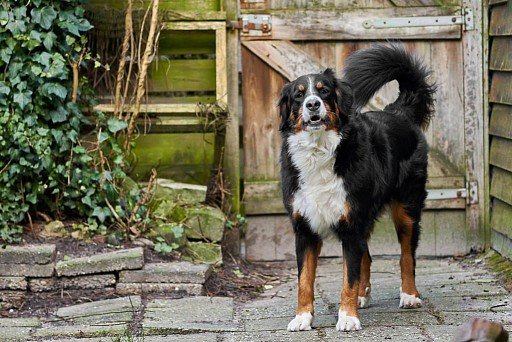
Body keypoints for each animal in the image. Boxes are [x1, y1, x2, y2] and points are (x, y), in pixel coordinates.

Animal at [280, 44, 436, 330]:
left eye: (324, 91)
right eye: (299, 95)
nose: (312, 104)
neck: (319, 152)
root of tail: (398, 111)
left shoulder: (351, 226)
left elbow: (348, 278)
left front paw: (348, 317)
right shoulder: (305, 227)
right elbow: (304, 280)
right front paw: (302, 318)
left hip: (406, 208)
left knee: (406, 255)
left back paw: (409, 295)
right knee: (368, 257)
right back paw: (364, 296)